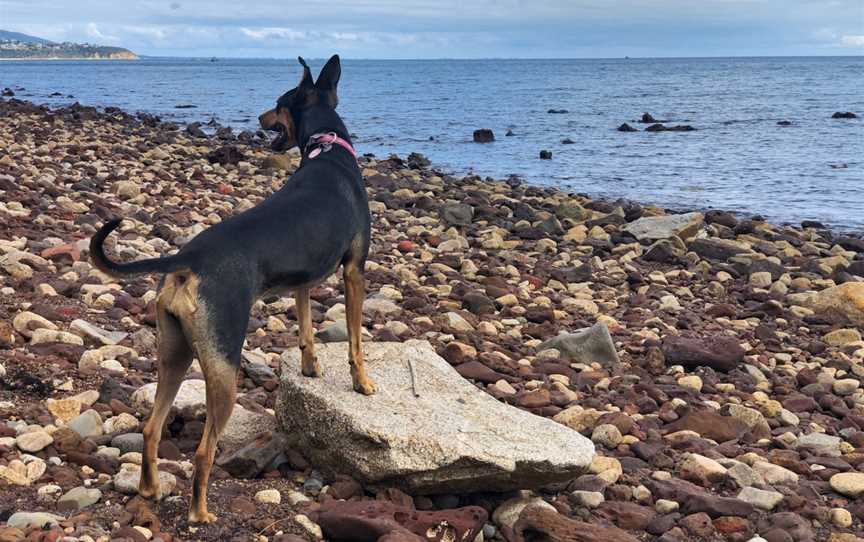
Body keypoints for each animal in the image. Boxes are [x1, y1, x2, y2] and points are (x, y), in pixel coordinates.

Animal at [90, 54, 374, 524]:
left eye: (277, 104)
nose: (259, 117)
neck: (327, 150)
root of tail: (188, 259)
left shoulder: (304, 280)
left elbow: (307, 331)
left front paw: (311, 367)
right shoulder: (354, 271)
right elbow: (354, 342)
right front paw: (363, 383)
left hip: (174, 353)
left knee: (151, 428)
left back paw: (150, 489)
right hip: (224, 367)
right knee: (204, 451)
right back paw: (200, 513)